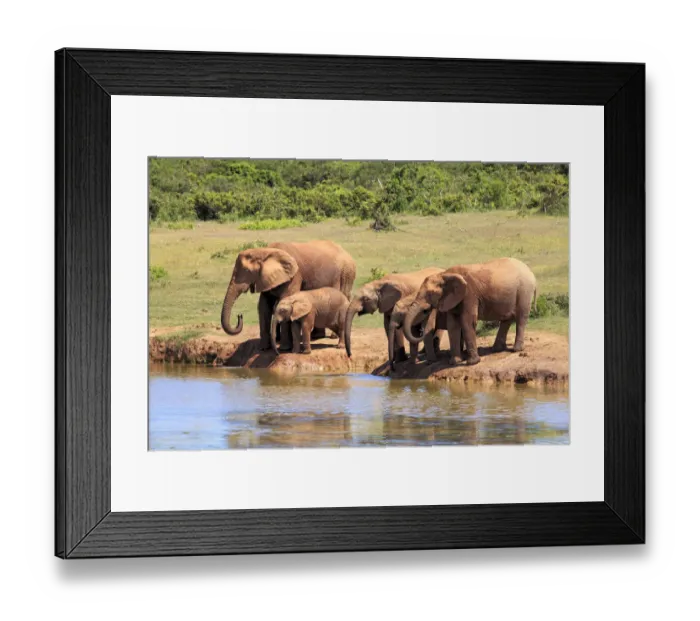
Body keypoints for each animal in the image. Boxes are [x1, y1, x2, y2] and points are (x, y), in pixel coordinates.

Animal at [220, 241, 356, 351]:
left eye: (247, 272)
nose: (239, 315)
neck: (264, 251)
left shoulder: (294, 275)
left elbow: (283, 300)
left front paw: (284, 348)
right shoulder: (266, 279)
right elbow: (263, 306)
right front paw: (263, 348)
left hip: (346, 273)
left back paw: (333, 337)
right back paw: (316, 336)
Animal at [403, 258, 537, 366]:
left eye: (430, 294)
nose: (420, 331)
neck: (445, 274)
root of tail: (531, 273)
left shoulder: (469, 295)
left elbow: (467, 321)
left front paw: (472, 363)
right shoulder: (452, 299)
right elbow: (453, 325)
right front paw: (454, 362)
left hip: (524, 291)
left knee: (521, 318)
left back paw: (517, 350)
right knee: (506, 319)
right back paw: (496, 349)